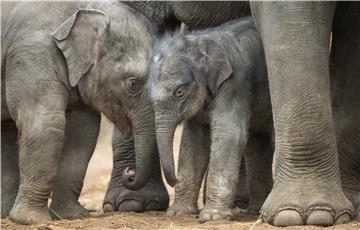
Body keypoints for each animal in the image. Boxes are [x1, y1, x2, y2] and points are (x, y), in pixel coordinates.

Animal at [146, 16, 272, 223]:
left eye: (179, 92)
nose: (175, 179)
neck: (202, 42)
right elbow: (193, 142)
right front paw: (179, 213)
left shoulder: (235, 82)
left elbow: (228, 134)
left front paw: (213, 217)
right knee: (258, 144)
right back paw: (255, 211)